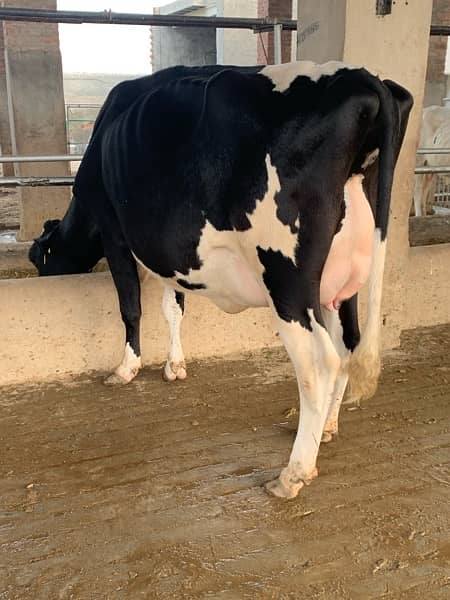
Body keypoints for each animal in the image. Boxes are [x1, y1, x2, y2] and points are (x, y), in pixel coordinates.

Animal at [29, 63, 414, 500]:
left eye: (41, 259)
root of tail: (359, 76)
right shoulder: (170, 254)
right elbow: (172, 306)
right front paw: (174, 365)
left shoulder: (114, 232)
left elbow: (131, 306)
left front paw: (127, 368)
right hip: (340, 281)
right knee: (348, 342)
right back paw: (326, 428)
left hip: (286, 277)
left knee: (320, 363)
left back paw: (293, 474)